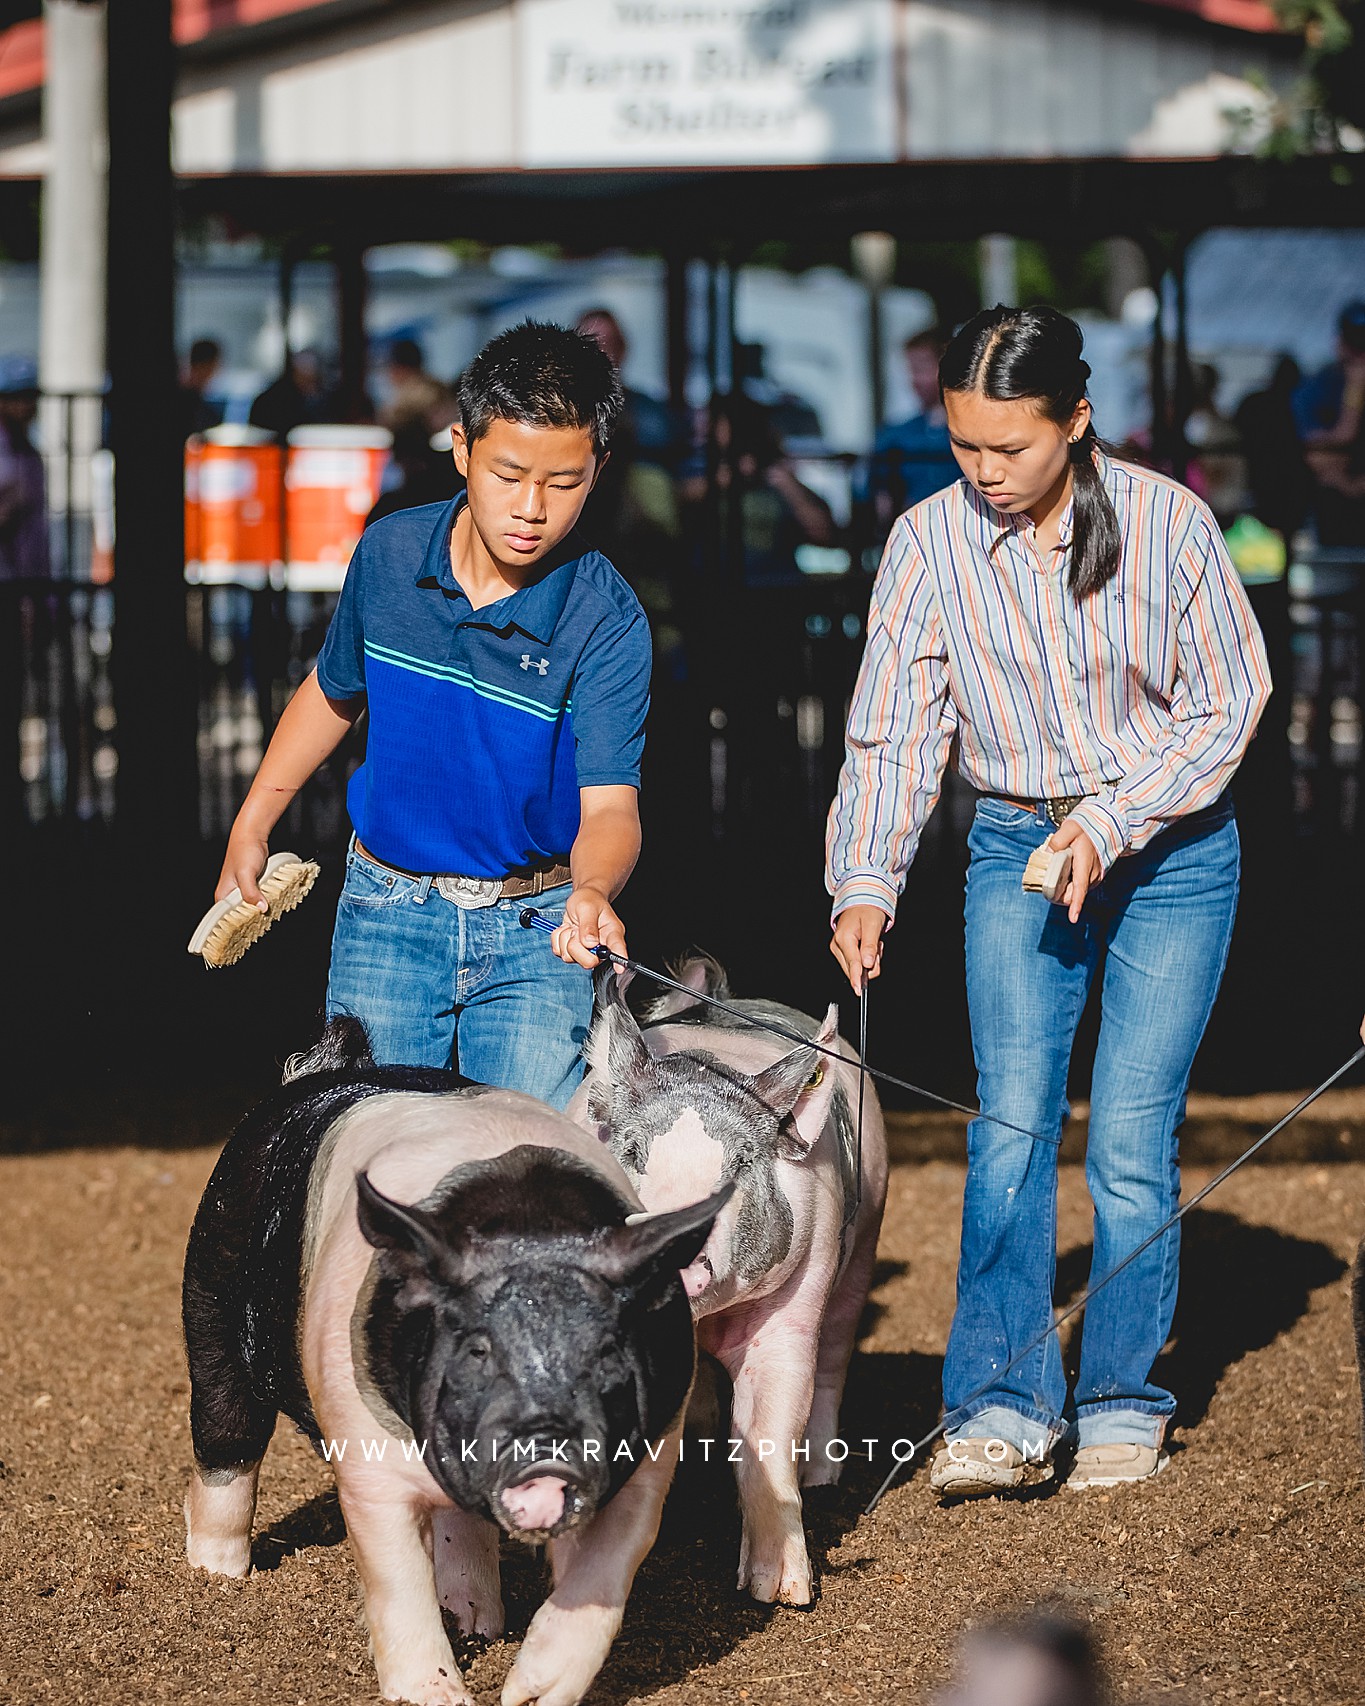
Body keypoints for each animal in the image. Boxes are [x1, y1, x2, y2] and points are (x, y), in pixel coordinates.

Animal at [187, 1016, 737, 1699]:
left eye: (609, 1351)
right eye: (476, 1350)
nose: (546, 1458)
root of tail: (320, 1071)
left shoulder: (654, 1450)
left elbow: (608, 1570)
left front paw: (530, 1694)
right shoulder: (363, 1453)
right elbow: (395, 1579)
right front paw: (438, 1696)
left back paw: (477, 1619)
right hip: (211, 1289)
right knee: (224, 1440)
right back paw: (218, 1580)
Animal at [569, 962, 887, 1610]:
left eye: (740, 1165)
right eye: (633, 1152)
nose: (677, 1246)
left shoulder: (792, 1304)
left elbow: (769, 1428)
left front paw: (781, 1592)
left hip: (865, 1237)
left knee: (835, 1355)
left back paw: (822, 1474)